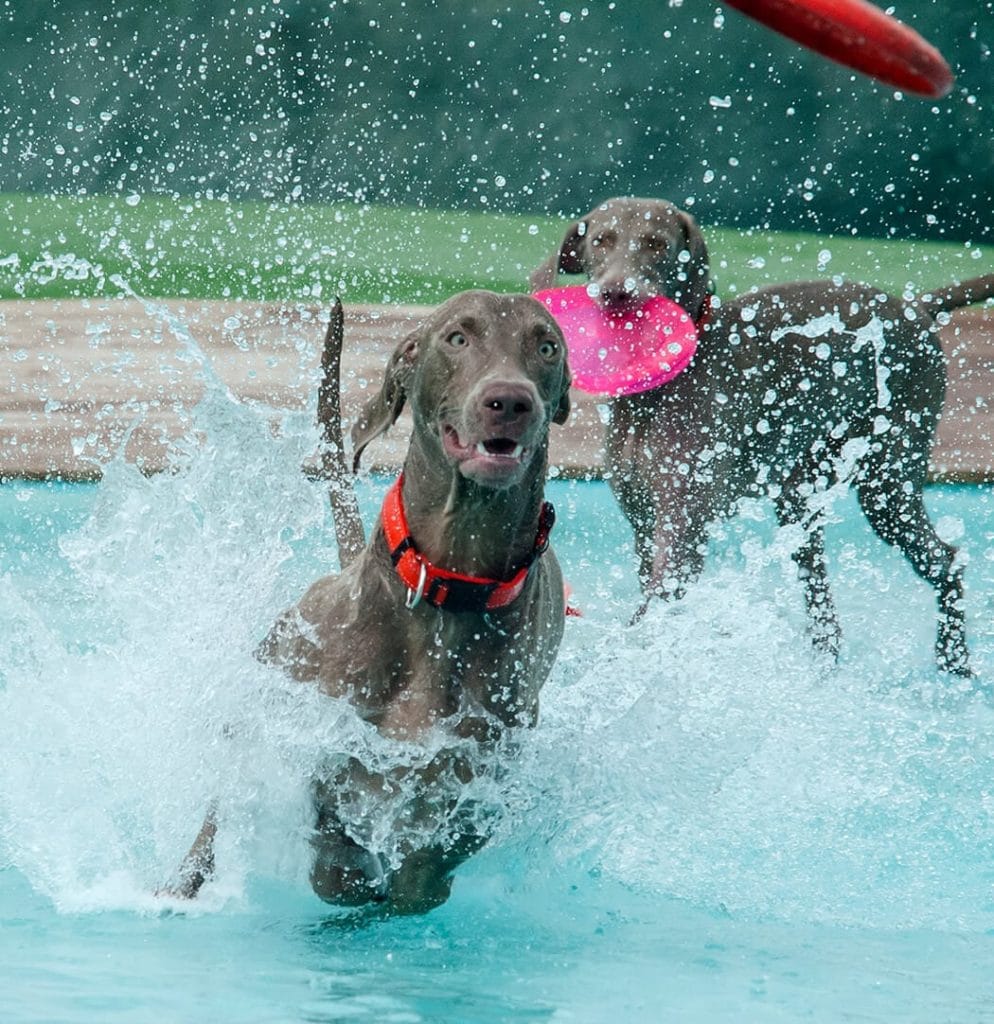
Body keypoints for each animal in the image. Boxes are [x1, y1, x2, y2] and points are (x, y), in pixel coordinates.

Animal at [536, 195, 994, 675]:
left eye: (656, 244)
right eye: (601, 241)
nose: (616, 293)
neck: (656, 391)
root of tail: (914, 306)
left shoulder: (683, 527)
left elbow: (655, 607)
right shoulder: (643, 523)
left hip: (888, 483)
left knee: (946, 560)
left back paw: (954, 661)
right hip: (802, 498)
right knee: (823, 602)